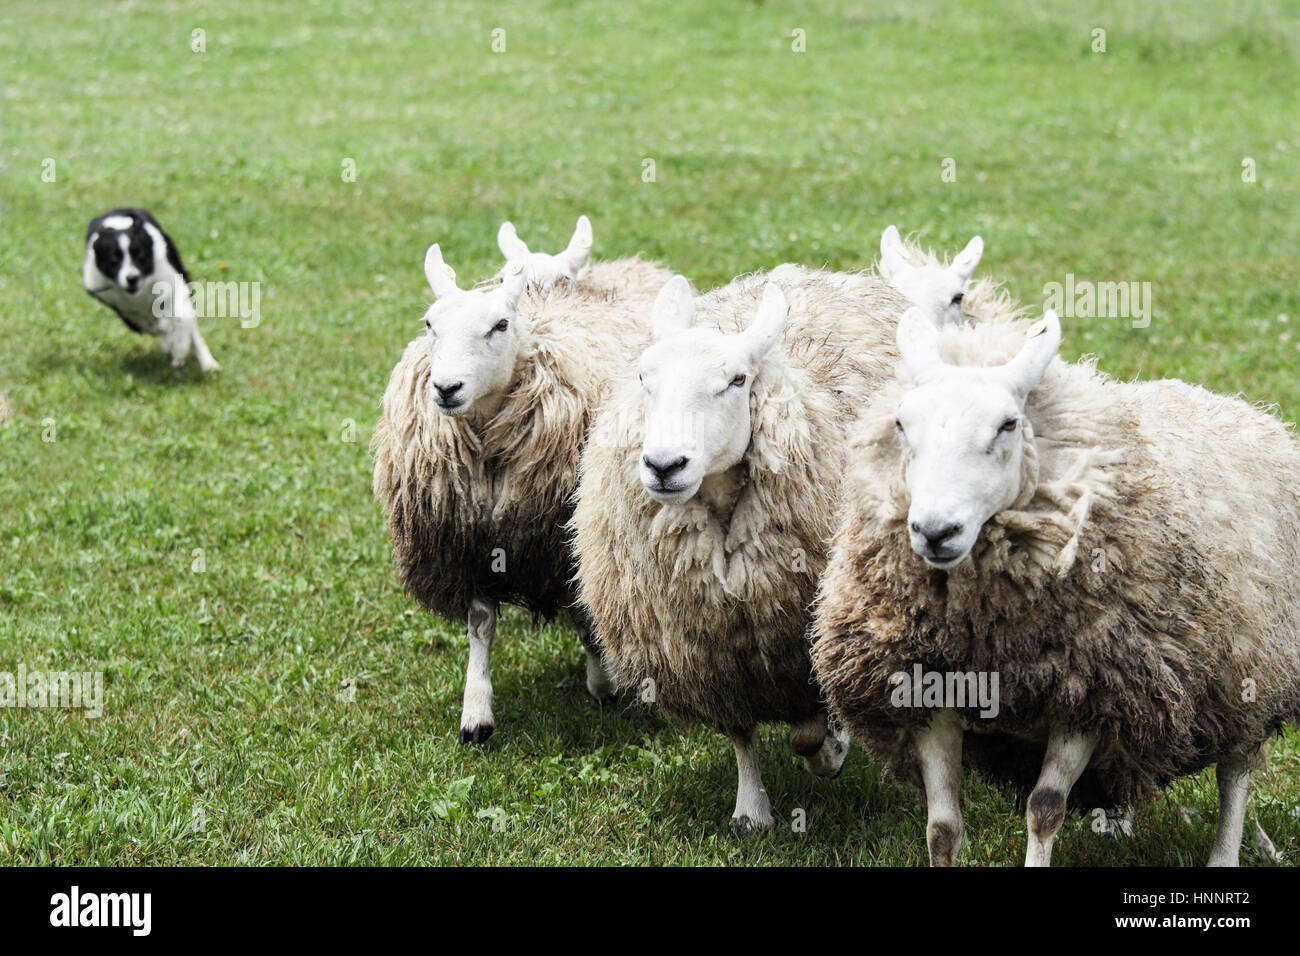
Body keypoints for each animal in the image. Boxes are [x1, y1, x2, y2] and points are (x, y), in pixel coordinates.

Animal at [80, 208, 219, 371]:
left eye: (141, 257)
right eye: (114, 261)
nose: (132, 278)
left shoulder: (173, 282)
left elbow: (182, 318)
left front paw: (179, 349)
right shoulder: (118, 304)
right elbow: (151, 325)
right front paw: (168, 340)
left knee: (192, 328)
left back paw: (208, 363)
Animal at [574, 264, 909, 832]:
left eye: (736, 380)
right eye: (644, 378)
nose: (664, 465)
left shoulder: (802, 633)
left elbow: (808, 729)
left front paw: (831, 752)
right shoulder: (712, 648)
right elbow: (740, 732)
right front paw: (751, 809)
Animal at [811, 306, 1300, 868]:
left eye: (1008, 424)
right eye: (901, 423)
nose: (935, 531)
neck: (984, 633)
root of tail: (1236, 404)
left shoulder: (1091, 692)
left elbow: (1044, 808)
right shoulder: (927, 689)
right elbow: (942, 828)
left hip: (1253, 671)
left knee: (1236, 772)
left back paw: (1226, 852)